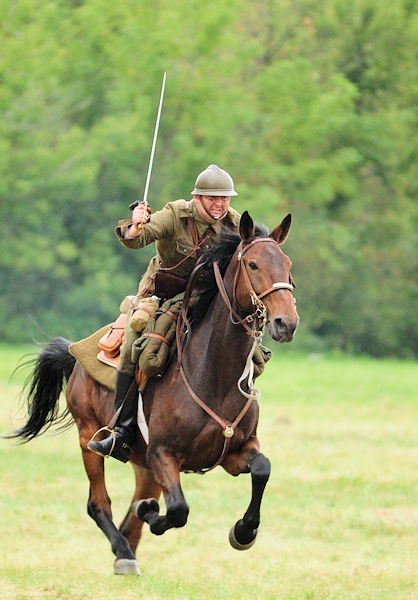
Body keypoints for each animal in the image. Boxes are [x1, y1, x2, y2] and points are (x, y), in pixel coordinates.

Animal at [5, 211, 298, 572]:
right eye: (253, 264)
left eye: (287, 264)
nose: (287, 323)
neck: (213, 377)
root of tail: (75, 357)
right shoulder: (163, 456)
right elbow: (178, 510)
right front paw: (152, 514)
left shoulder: (235, 452)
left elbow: (262, 469)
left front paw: (243, 532)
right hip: (89, 438)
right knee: (98, 503)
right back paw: (124, 552)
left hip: (142, 465)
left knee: (130, 519)